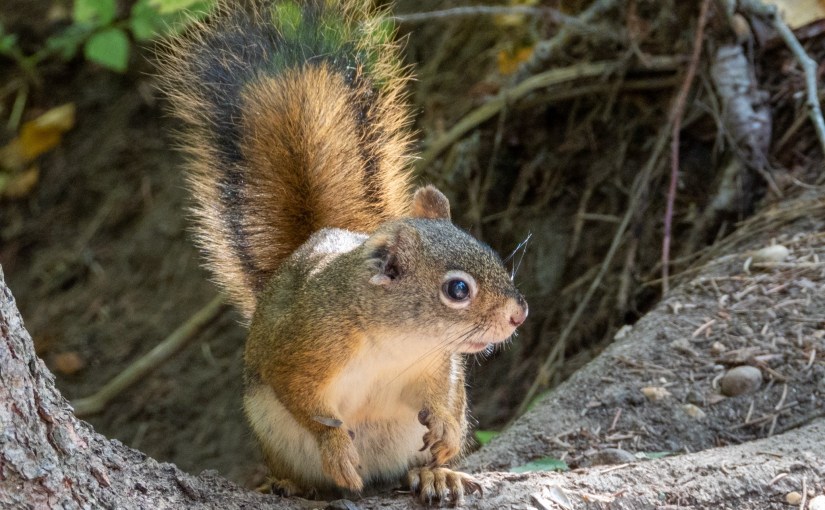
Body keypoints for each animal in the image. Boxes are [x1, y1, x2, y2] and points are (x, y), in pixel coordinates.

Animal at [158, 0, 527, 505]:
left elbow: (441, 400)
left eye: (488, 248)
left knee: (408, 469)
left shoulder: (437, 367)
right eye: (457, 290)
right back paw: (291, 484)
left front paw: (447, 434)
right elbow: (306, 406)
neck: (395, 339)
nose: (518, 314)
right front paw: (335, 448)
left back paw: (435, 474)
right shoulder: (301, 351)